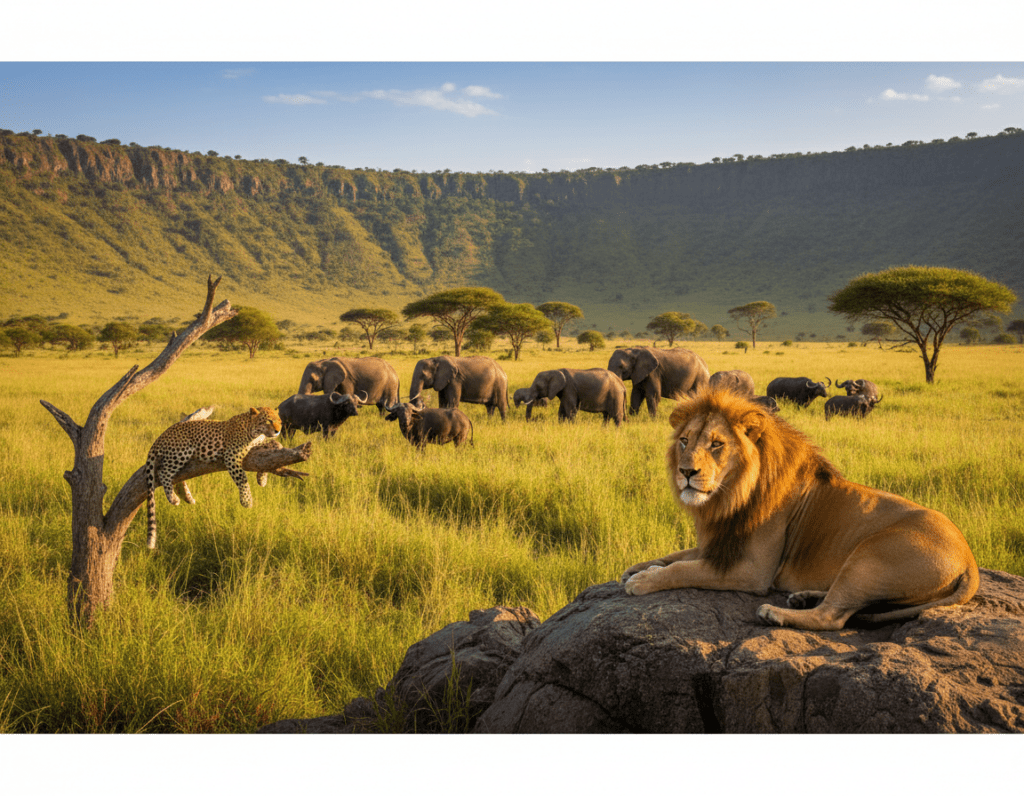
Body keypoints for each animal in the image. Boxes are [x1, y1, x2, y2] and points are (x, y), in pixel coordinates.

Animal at [621, 388, 979, 630]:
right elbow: (676, 555)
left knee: (832, 617)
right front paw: (638, 567)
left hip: (871, 555)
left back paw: (775, 612)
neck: (729, 496)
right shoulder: (717, 544)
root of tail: (969, 558)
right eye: (684, 440)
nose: (685, 472)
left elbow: (684, 569)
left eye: (716, 444)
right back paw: (803, 596)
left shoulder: (753, 571)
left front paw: (642, 581)